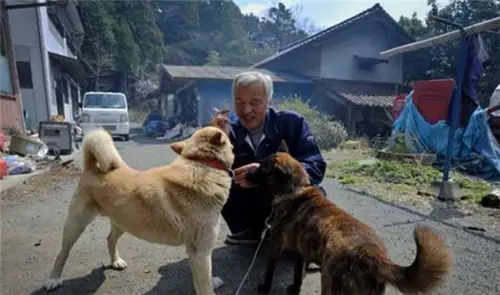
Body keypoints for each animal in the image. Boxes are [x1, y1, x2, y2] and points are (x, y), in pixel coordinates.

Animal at [246, 150, 454, 295]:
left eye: (263, 168)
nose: (245, 173)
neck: (295, 189)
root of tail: (373, 256)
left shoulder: (276, 245)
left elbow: (269, 271)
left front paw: (264, 287)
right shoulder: (300, 253)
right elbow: (297, 276)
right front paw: (294, 289)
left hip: (330, 285)